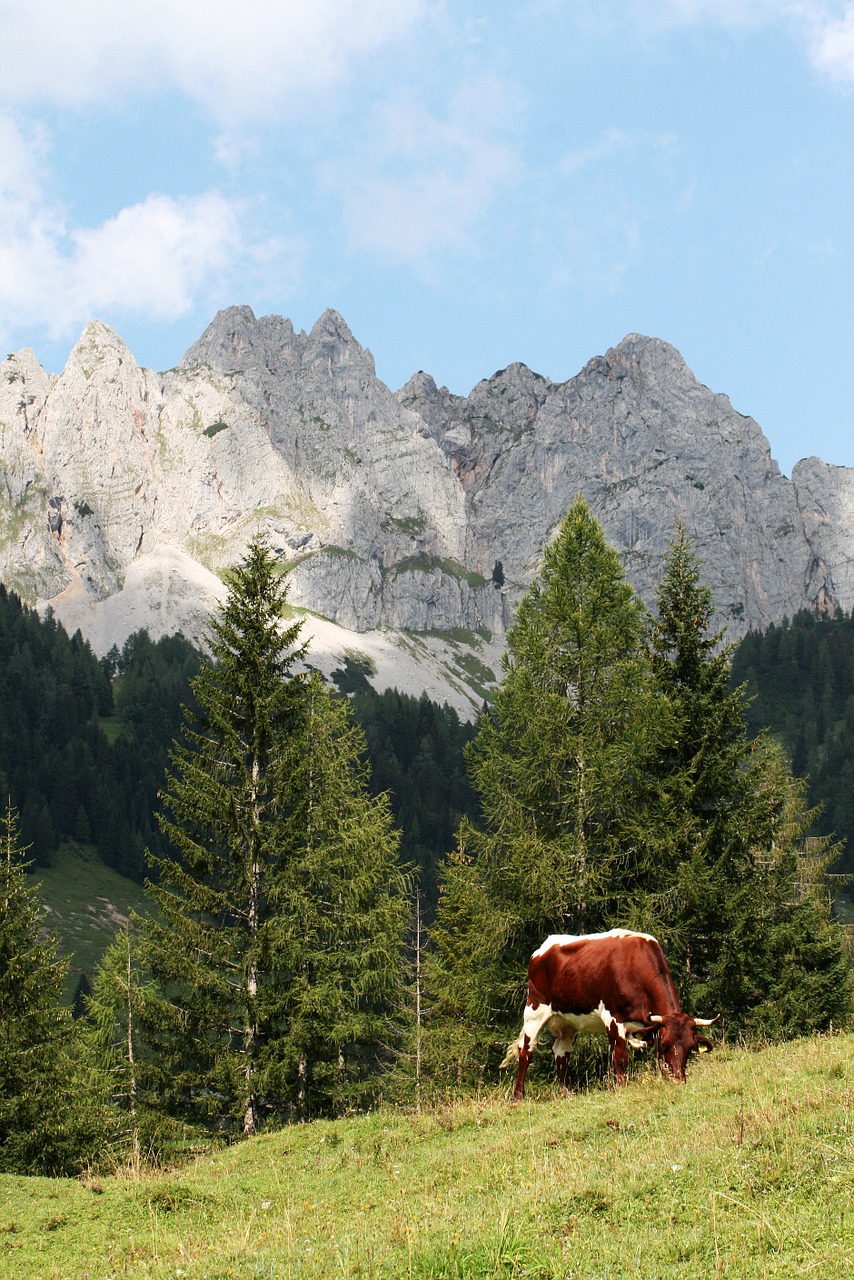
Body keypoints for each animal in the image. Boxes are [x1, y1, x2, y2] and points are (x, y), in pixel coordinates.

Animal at [501, 931, 717, 1100]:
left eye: (690, 1048)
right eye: (665, 1045)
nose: (678, 1081)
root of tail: (542, 949)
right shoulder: (613, 1017)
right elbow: (620, 1058)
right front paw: (622, 1089)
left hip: (569, 1021)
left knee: (561, 1051)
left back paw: (568, 1093)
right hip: (534, 1010)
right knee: (526, 1050)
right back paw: (518, 1097)